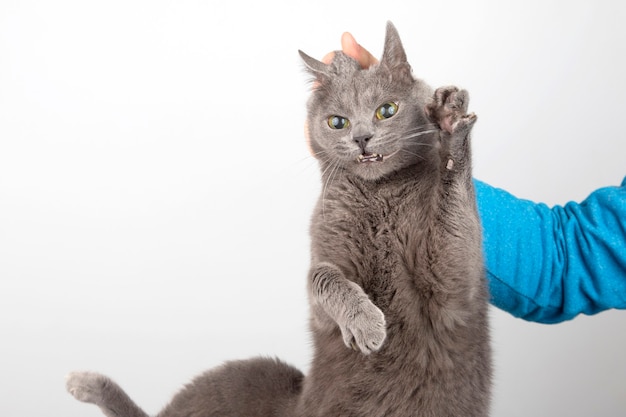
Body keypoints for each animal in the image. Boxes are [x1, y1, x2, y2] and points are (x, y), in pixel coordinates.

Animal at [66, 22, 490, 416]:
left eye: (386, 110)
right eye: (337, 122)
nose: (362, 138)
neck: (379, 197)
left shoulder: (453, 287)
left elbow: (454, 222)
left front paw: (451, 121)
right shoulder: (323, 270)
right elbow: (321, 275)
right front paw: (366, 325)